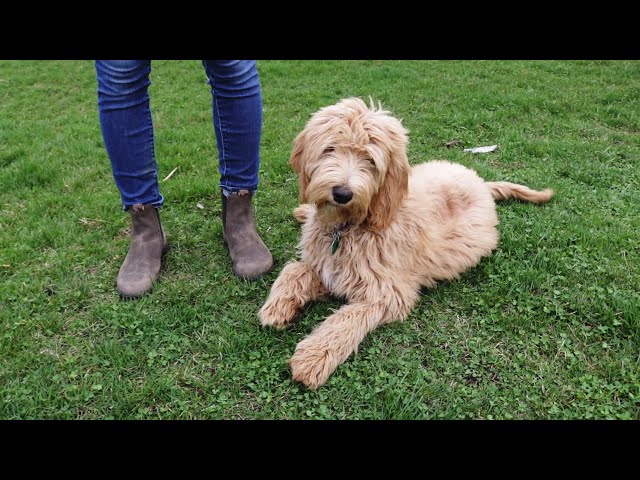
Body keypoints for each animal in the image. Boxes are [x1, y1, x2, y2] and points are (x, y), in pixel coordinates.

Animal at [258, 97, 552, 390]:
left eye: (370, 159)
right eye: (329, 149)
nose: (342, 193)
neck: (349, 227)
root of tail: (481, 183)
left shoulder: (387, 292)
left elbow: (347, 318)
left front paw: (313, 357)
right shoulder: (325, 264)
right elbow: (294, 269)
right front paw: (277, 305)